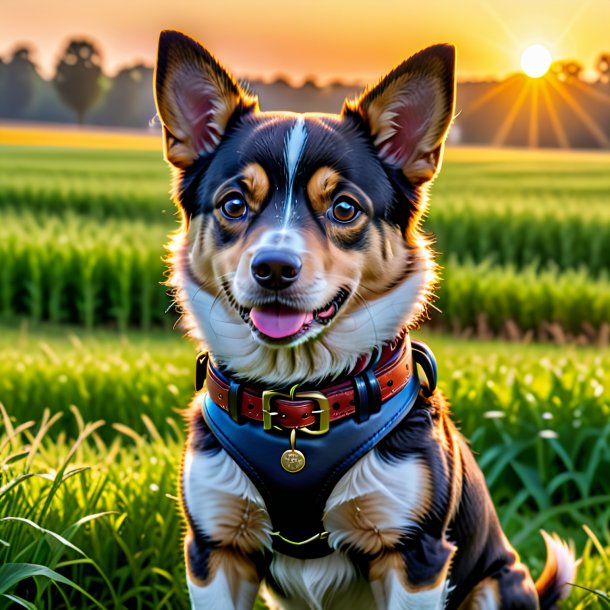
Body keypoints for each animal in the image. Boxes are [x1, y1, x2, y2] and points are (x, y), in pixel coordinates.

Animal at [152, 30, 576, 608]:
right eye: (234, 204)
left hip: (494, 580)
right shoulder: (216, 548)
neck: (297, 401)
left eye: (345, 208)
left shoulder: (415, 556)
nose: (274, 268)